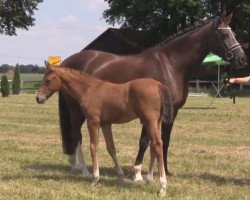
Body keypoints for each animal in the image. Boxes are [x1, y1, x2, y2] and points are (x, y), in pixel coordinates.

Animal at [36, 62, 174, 195]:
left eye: (48, 80)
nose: (38, 98)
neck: (89, 90)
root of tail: (158, 85)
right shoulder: (105, 124)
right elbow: (111, 148)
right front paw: (121, 176)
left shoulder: (93, 122)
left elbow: (93, 147)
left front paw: (95, 179)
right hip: (156, 122)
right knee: (154, 146)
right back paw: (149, 180)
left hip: (149, 121)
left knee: (157, 144)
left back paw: (162, 187)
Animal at [56, 13, 246, 180]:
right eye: (224, 34)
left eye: (234, 34)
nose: (242, 59)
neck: (171, 65)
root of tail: (66, 63)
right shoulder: (149, 112)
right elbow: (144, 141)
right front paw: (138, 173)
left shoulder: (170, 112)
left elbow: (163, 141)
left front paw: (162, 172)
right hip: (76, 109)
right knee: (76, 134)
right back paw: (82, 169)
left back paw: (75, 165)